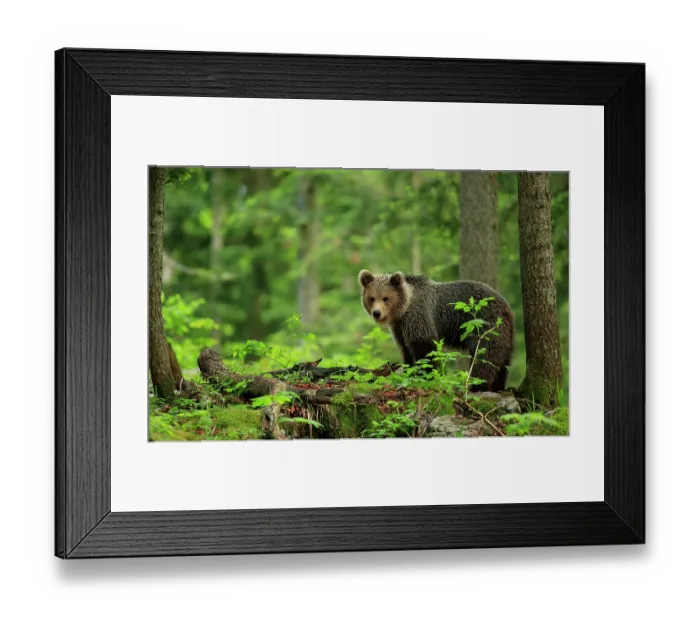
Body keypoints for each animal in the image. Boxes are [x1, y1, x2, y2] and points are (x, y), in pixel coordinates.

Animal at [359, 269, 515, 392]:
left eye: (385, 298)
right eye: (371, 298)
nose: (377, 313)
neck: (403, 309)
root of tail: (505, 304)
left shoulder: (418, 316)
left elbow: (424, 346)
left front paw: (426, 376)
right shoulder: (399, 328)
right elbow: (405, 349)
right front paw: (409, 370)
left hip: (484, 322)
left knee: (486, 353)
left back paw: (477, 385)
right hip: (505, 331)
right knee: (504, 358)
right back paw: (499, 386)